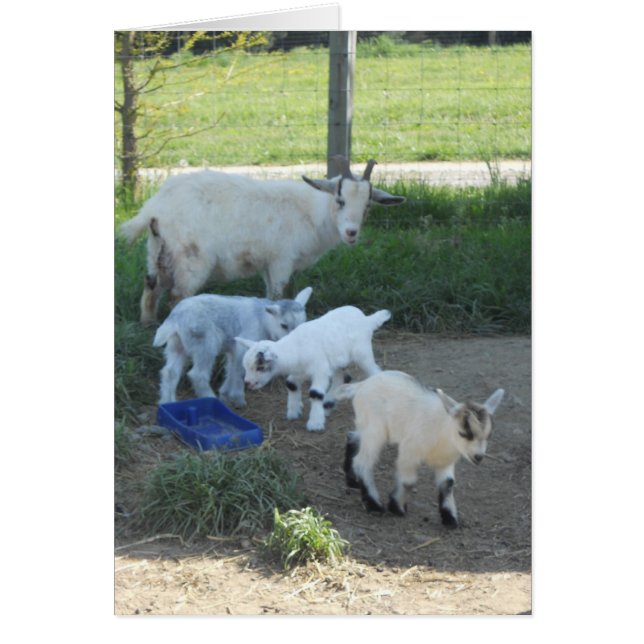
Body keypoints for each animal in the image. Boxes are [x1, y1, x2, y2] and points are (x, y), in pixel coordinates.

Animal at [119, 157, 405, 325]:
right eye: (340, 199)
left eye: (368, 205)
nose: (351, 233)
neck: (313, 211)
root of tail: (155, 207)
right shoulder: (281, 260)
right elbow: (277, 294)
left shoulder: (270, 265)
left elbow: (274, 295)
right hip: (190, 260)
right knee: (178, 296)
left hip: (159, 251)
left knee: (151, 286)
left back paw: (148, 324)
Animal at [153, 287, 312, 407]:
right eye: (283, 325)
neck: (264, 320)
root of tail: (175, 318)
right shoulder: (244, 346)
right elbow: (239, 370)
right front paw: (238, 398)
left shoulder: (233, 349)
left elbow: (231, 368)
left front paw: (225, 394)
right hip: (205, 344)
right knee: (197, 374)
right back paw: (210, 398)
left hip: (176, 344)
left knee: (169, 372)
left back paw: (167, 403)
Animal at [235, 306, 391, 432]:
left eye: (260, 367)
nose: (248, 383)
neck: (296, 348)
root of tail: (367, 320)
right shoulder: (301, 371)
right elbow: (290, 384)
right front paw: (293, 413)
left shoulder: (320, 369)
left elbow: (315, 393)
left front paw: (315, 424)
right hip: (338, 359)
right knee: (343, 377)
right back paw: (328, 404)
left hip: (362, 352)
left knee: (375, 372)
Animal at [337, 370, 504, 527]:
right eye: (463, 433)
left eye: (489, 435)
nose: (478, 457)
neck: (442, 431)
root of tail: (362, 385)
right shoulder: (409, 451)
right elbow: (408, 482)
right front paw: (397, 507)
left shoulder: (445, 461)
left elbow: (448, 483)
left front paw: (450, 518)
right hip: (375, 428)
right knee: (362, 461)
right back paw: (374, 504)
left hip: (366, 425)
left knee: (352, 436)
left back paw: (352, 480)